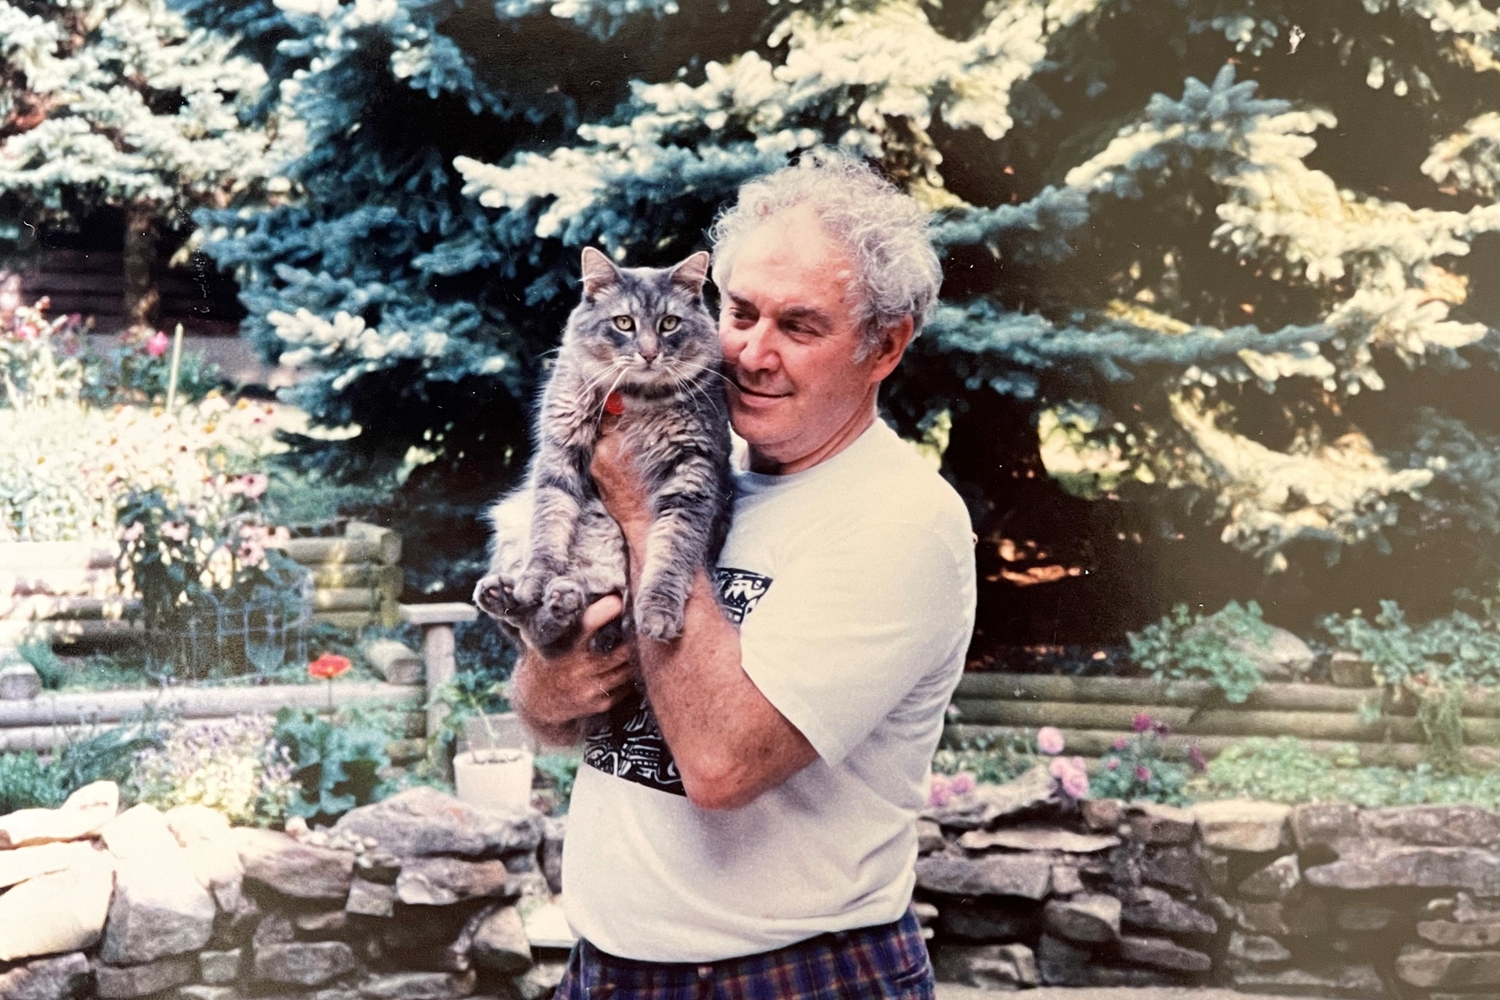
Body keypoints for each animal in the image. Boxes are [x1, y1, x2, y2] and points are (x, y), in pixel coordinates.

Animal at [474, 248, 732, 656]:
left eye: (669, 324)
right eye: (624, 323)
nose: (648, 353)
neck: (634, 399)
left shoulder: (692, 469)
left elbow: (671, 548)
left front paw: (659, 611)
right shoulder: (560, 452)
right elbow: (548, 530)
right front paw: (535, 578)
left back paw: (560, 599)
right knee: (535, 634)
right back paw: (510, 594)